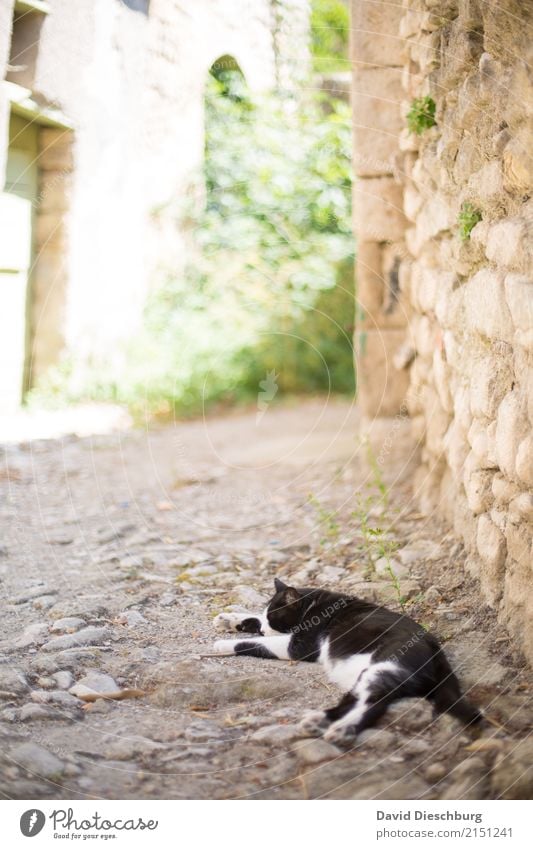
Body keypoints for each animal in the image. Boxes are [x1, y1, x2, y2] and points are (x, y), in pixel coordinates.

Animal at [213, 576, 482, 744]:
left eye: (275, 619)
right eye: (268, 617)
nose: (264, 629)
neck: (312, 605)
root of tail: (438, 652)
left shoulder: (299, 646)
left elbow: (257, 643)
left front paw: (222, 645)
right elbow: (252, 619)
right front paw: (229, 618)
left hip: (384, 665)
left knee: (374, 702)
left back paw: (342, 730)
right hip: (364, 675)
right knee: (354, 699)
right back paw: (318, 722)